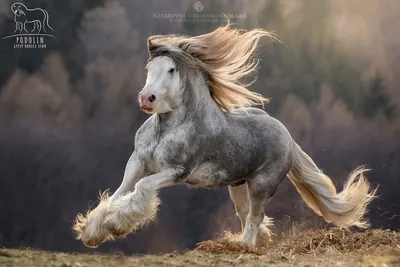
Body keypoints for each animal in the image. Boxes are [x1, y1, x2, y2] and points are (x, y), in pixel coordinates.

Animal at [73, 25, 376, 249]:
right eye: (149, 69)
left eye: (171, 70)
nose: (147, 98)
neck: (166, 128)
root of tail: (287, 135)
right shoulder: (137, 162)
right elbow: (119, 192)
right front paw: (92, 232)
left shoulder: (176, 171)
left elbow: (142, 188)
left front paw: (116, 225)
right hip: (238, 186)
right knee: (248, 215)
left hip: (262, 185)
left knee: (255, 216)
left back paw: (245, 245)